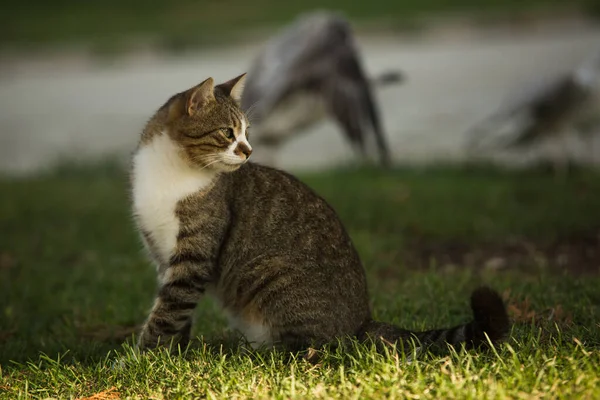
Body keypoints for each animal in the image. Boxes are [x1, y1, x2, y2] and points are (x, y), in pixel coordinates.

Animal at [129, 74, 508, 356]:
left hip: (272, 273)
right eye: (227, 133)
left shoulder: (193, 258)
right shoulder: (163, 256)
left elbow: (167, 312)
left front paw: (140, 359)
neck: (170, 173)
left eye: (247, 133)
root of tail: (361, 322)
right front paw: (172, 355)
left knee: (313, 347)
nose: (249, 150)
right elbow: (176, 313)